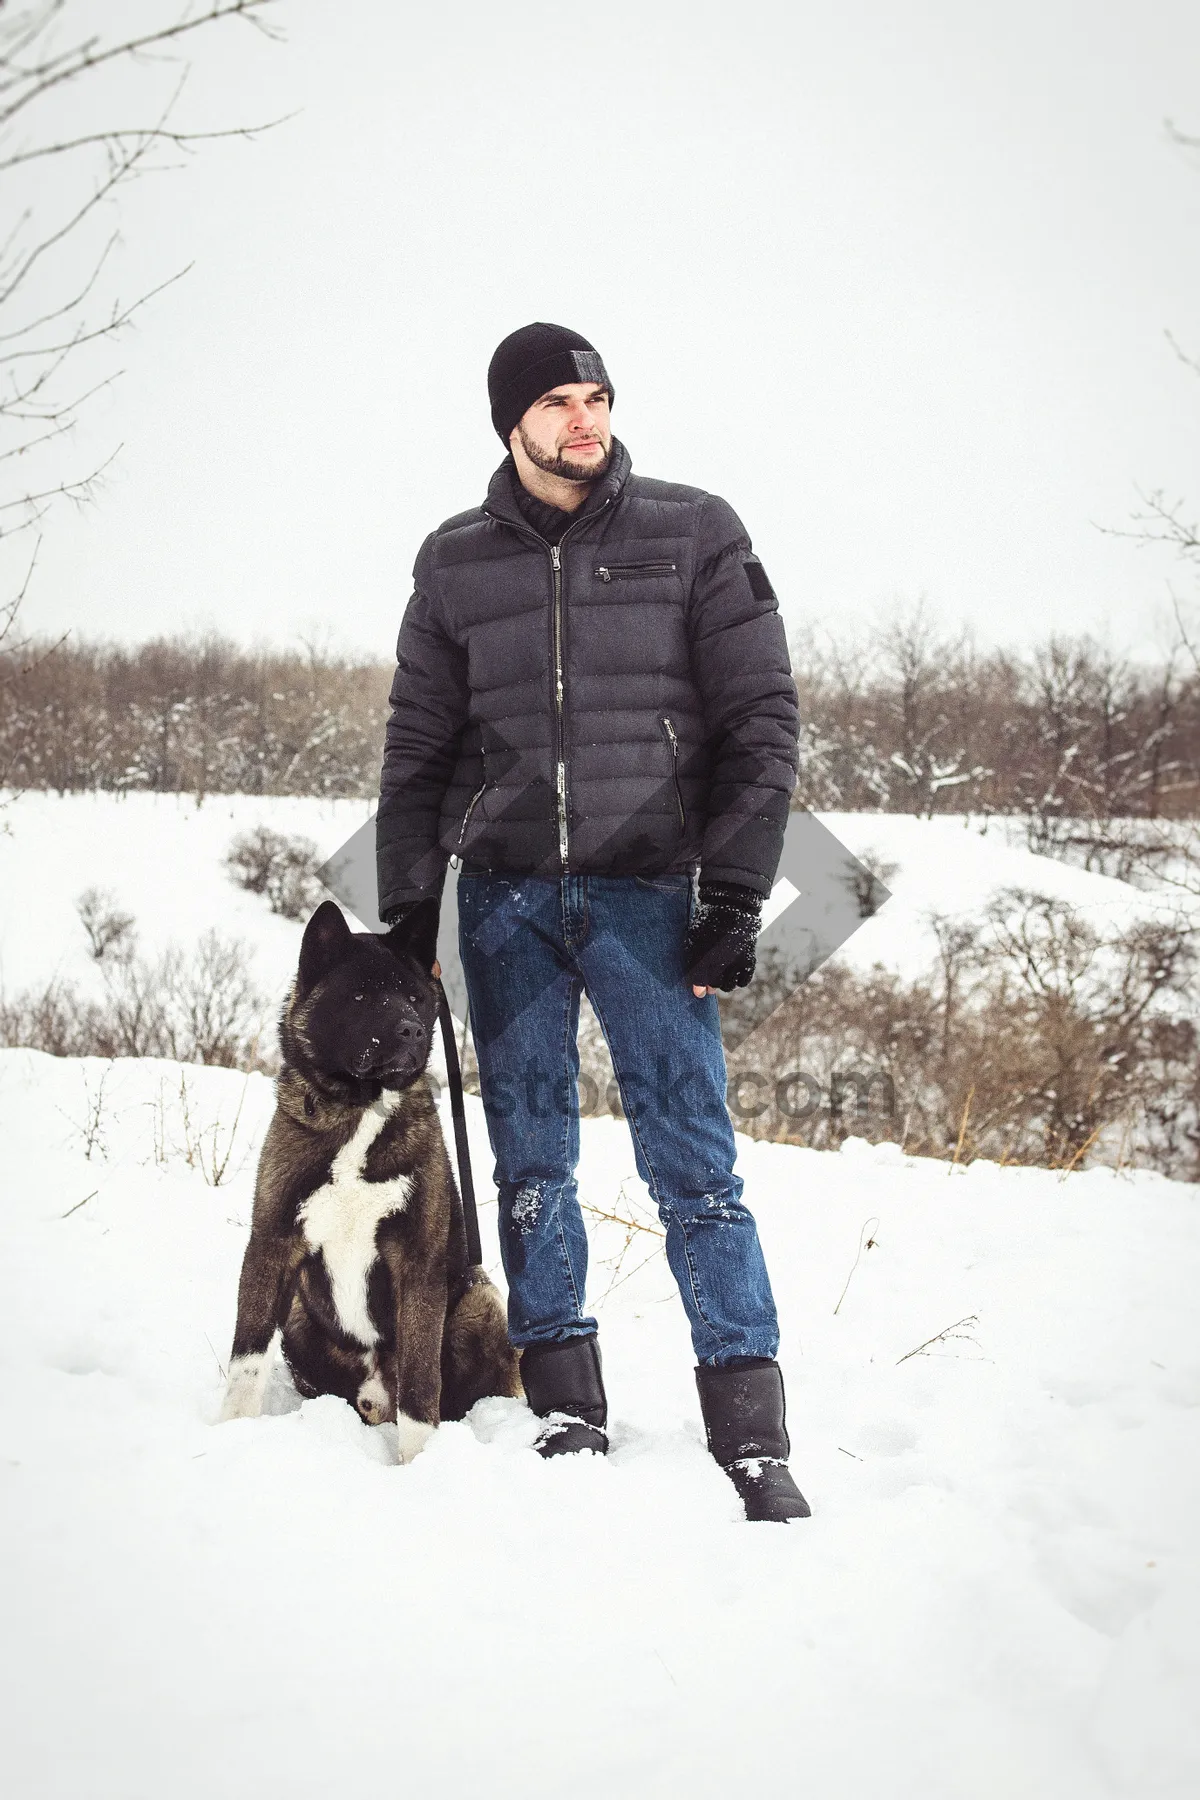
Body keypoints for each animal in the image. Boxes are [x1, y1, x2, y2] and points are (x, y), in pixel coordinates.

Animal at [218, 892, 518, 1454]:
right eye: (359, 997)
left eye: (417, 999)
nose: (414, 1030)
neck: (362, 1108)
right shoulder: (272, 1243)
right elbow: (245, 1361)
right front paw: (230, 1432)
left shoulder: (418, 1267)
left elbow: (420, 1386)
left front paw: (420, 1463)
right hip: (298, 1315)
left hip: (480, 1299)